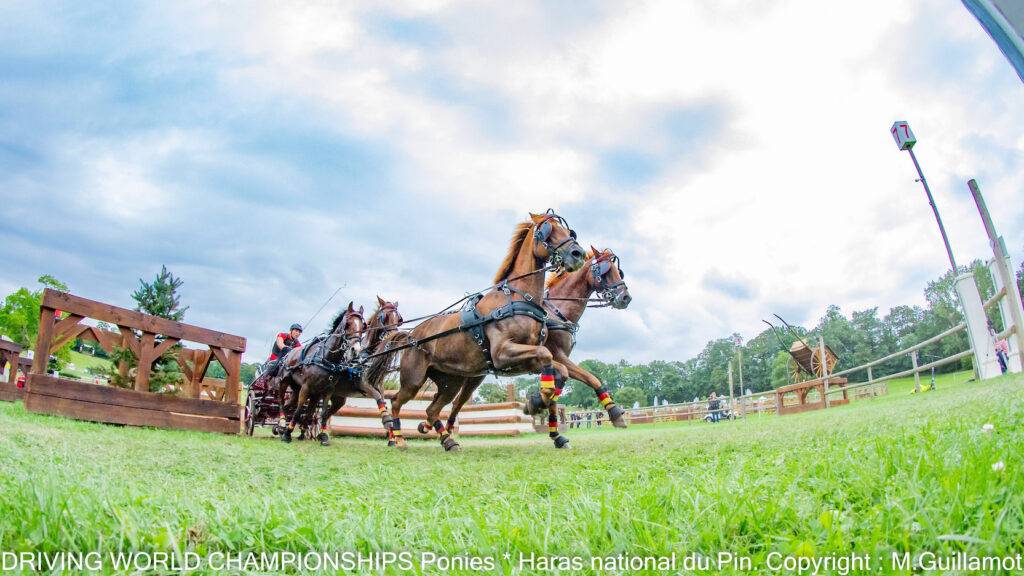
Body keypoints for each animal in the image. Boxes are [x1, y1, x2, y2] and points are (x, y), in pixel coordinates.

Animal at [272, 302, 366, 444]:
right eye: (348, 324)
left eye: (363, 326)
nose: (356, 350)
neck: (326, 358)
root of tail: (289, 353)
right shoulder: (306, 387)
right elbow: (298, 411)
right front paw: (288, 433)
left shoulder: (327, 390)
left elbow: (323, 413)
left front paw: (323, 435)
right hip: (284, 382)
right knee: (282, 403)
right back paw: (283, 424)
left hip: (300, 389)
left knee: (291, 406)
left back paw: (282, 428)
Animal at [314, 297, 404, 446]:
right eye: (384, 317)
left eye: (399, 319)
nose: (393, 336)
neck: (368, 356)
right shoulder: (364, 385)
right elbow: (378, 398)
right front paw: (386, 421)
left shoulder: (380, 387)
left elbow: (383, 401)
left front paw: (391, 438)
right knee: (321, 412)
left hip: (338, 398)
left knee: (325, 414)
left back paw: (322, 435)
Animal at [365, 211, 586, 451]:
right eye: (548, 230)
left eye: (569, 231)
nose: (578, 253)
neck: (516, 299)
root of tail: (411, 335)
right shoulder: (503, 354)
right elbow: (547, 355)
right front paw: (538, 401)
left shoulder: (526, 359)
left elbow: (560, 370)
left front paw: (540, 401)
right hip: (413, 379)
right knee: (396, 401)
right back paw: (398, 438)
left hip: (450, 382)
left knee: (433, 409)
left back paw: (447, 440)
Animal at [534, 247, 632, 426]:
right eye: (606, 271)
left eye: (619, 272)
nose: (626, 298)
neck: (557, 311)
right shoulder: (556, 355)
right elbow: (591, 377)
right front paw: (615, 412)